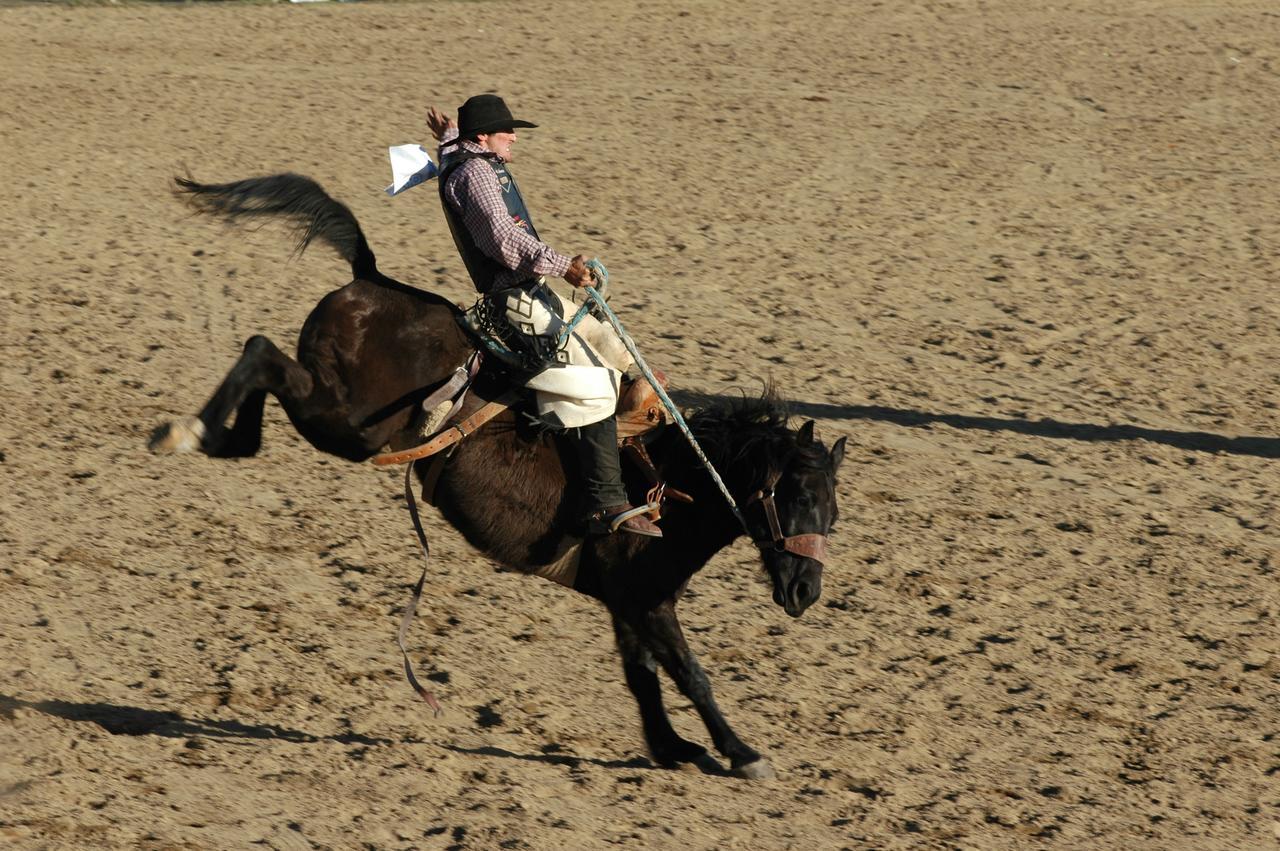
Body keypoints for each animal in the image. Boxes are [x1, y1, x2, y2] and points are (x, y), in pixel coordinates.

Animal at [149, 172, 844, 778]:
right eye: (796, 496)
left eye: (832, 513)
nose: (805, 592)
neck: (671, 485)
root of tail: (368, 278)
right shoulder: (649, 601)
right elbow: (690, 673)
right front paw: (741, 753)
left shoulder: (629, 602)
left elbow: (643, 676)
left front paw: (672, 747)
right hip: (345, 421)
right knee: (261, 353)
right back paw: (188, 432)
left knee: (262, 362)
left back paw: (225, 440)